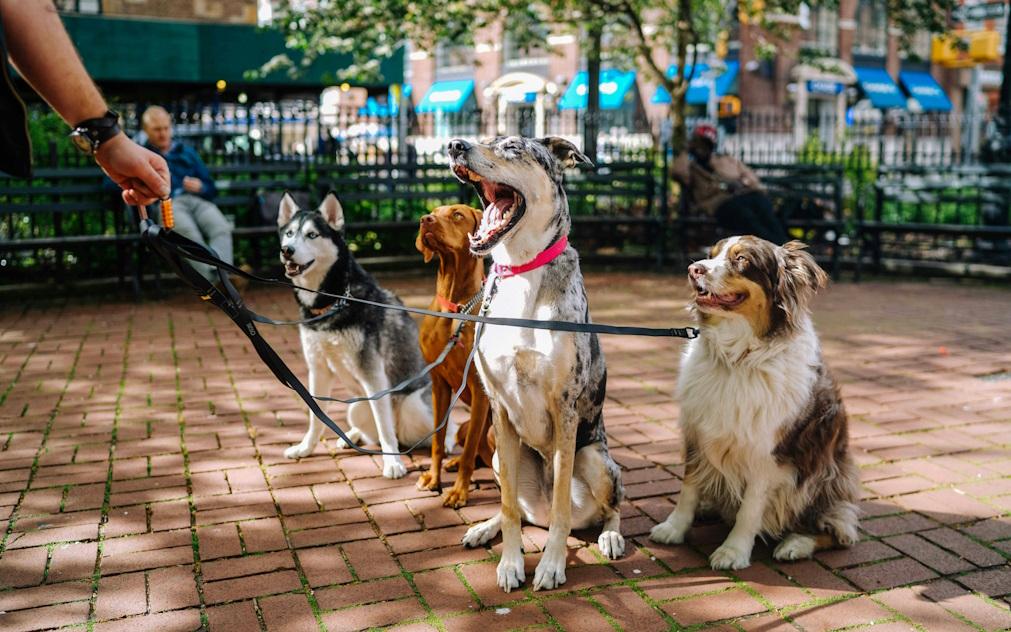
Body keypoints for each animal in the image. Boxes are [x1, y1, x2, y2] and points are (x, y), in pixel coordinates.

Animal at [277, 192, 434, 477]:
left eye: (312, 235)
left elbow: (383, 425)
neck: (333, 302)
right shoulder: (318, 369)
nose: (287, 250)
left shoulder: (373, 373)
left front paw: (393, 463)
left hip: (413, 406)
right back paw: (352, 436)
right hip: (357, 407)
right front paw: (305, 448)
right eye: (289, 233)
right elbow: (315, 416)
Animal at [414, 204, 493, 505]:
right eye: (433, 212)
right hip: (463, 427)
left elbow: (470, 451)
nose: (425, 220)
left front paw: (459, 491)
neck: (455, 308)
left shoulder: (480, 390)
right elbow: (438, 440)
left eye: (457, 214)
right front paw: (433, 479)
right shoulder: (438, 383)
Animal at [448, 134, 622, 590]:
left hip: (596, 460)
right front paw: (511, 563)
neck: (522, 271)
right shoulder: (499, 408)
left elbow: (561, 508)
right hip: (496, 454)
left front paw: (551, 565)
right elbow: (509, 508)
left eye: (511, 147)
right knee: (521, 510)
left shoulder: (565, 409)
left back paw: (611, 536)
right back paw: (484, 528)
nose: (454, 145)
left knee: (609, 507)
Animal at [647, 235, 861, 566]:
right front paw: (674, 527)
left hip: (825, 476)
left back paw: (796, 544)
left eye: (742, 260)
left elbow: (750, 509)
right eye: (711, 254)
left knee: (840, 530)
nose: (694, 269)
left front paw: (733, 550)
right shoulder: (697, 432)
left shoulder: (767, 455)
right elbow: (689, 488)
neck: (737, 358)